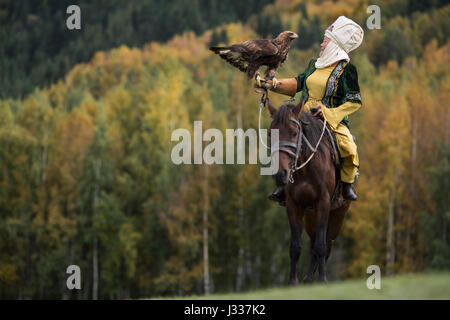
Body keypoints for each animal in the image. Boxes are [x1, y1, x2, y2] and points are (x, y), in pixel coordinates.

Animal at [268, 99, 352, 284]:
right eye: (271, 134)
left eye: (294, 133)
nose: (280, 174)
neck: (306, 169)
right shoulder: (293, 206)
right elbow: (295, 246)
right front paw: (293, 282)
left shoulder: (323, 203)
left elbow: (321, 245)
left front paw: (322, 279)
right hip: (310, 215)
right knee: (313, 242)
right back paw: (307, 278)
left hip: (338, 214)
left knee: (327, 243)